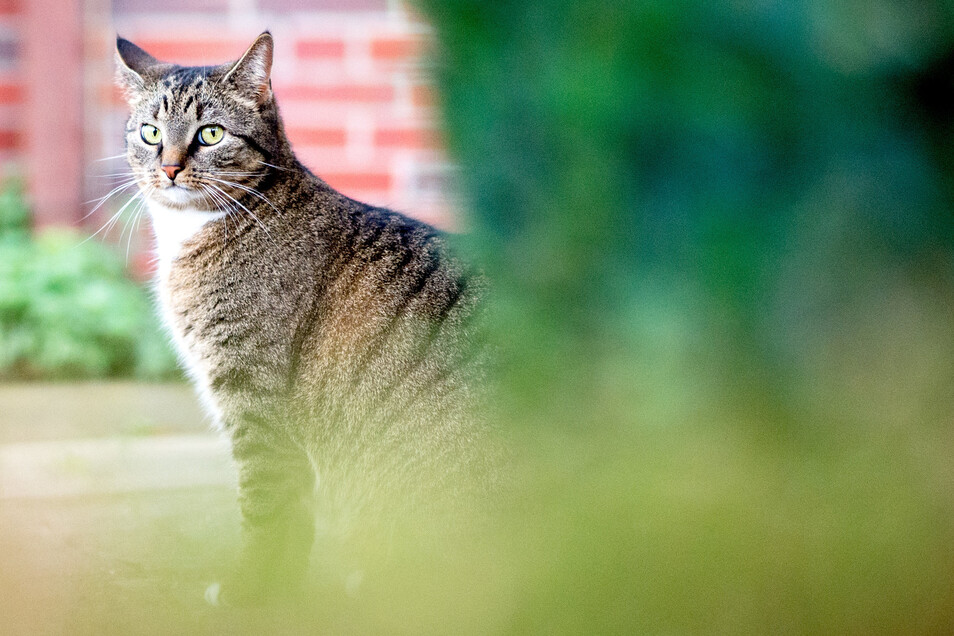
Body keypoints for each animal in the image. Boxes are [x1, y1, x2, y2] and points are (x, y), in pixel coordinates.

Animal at [113, 32, 490, 604]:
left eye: (210, 133)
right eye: (150, 133)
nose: (170, 169)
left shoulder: (255, 401)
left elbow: (267, 507)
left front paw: (252, 588)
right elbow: (293, 521)